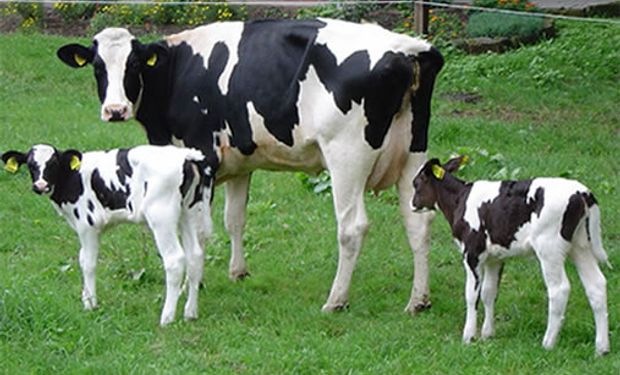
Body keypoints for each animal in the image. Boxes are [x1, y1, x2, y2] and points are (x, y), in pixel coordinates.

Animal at [1, 144, 213, 326]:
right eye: (30, 164)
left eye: (53, 163)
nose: (40, 185)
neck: (72, 177)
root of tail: (184, 155)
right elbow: (81, 258)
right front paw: (85, 298)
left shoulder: (87, 225)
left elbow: (88, 262)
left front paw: (91, 304)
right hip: (189, 212)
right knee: (195, 256)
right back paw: (190, 312)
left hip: (161, 216)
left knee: (175, 260)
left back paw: (167, 318)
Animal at [55, 17, 444, 312]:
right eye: (98, 66)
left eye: (134, 64)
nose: (115, 110)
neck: (178, 70)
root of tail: (409, 49)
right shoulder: (241, 163)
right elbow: (235, 220)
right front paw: (237, 272)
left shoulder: (204, 158)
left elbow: (201, 230)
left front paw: (195, 284)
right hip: (414, 154)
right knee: (419, 222)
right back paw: (418, 300)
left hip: (347, 154)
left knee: (352, 227)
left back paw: (335, 300)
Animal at [412, 157, 612, 356]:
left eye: (416, 183)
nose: (411, 204)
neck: (459, 199)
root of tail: (582, 192)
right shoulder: (495, 258)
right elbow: (489, 292)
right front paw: (487, 333)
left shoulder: (472, 253)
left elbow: (471, 294)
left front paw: (468, 336)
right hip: (580, 246)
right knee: (596, 285)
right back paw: (601, 348)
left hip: (549, 248)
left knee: (559, 289)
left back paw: (548, 343)